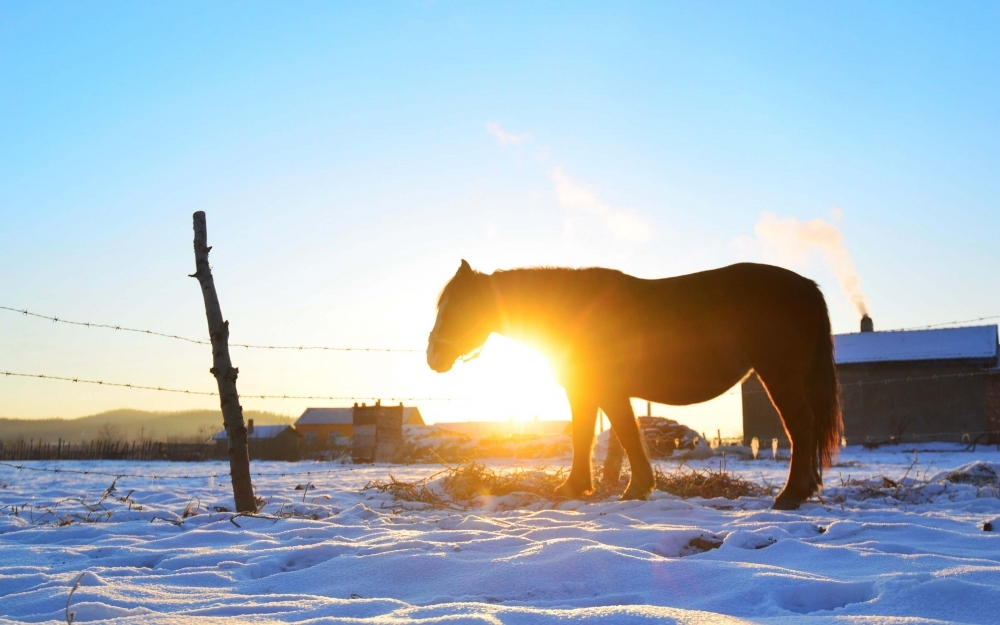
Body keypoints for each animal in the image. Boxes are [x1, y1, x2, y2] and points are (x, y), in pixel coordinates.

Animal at [426, 258, 840, 508]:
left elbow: (623, 433)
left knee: (800, 427)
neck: (576, 311)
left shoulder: (607, 391)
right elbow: (587, 437)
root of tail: (806, 286)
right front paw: (578, 486)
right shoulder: (587, 392)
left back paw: (790, 494)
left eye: (459, 307)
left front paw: (635, 487)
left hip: (780, 376)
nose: (433, 357)